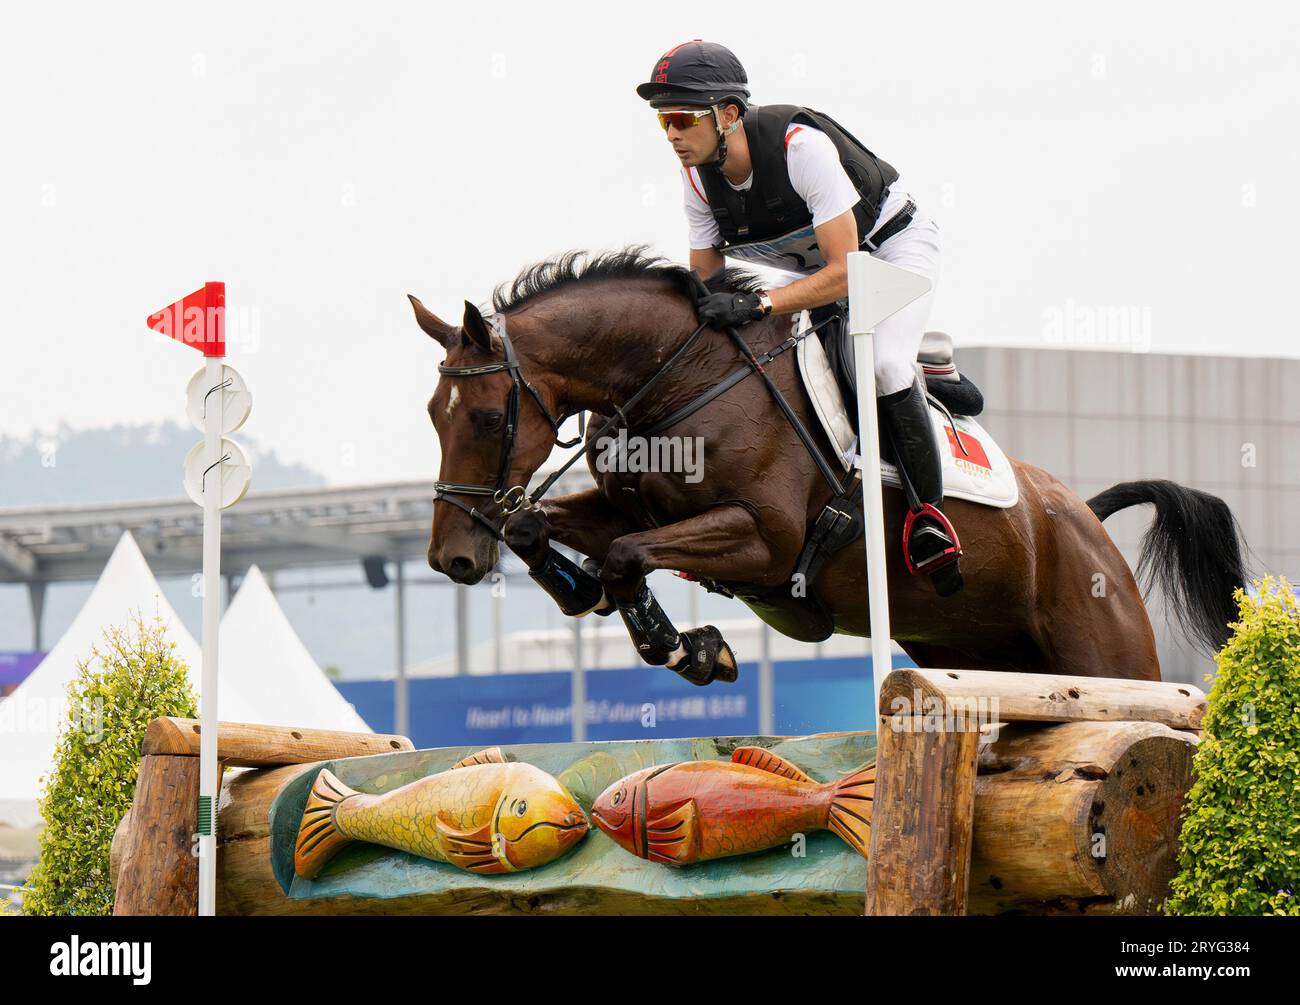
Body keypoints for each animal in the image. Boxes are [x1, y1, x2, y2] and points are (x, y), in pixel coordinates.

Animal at [410, 247, 1253, 681]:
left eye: (486, 418)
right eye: (431, 416)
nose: (452, 559)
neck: (682, 381)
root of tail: (1084, 519)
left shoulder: (766, 537)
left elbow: (623, 554)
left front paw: (685, 648)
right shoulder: (633, 507)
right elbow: (540, 527)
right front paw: (582, 591)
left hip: (1108, 652)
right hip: (989, 656)